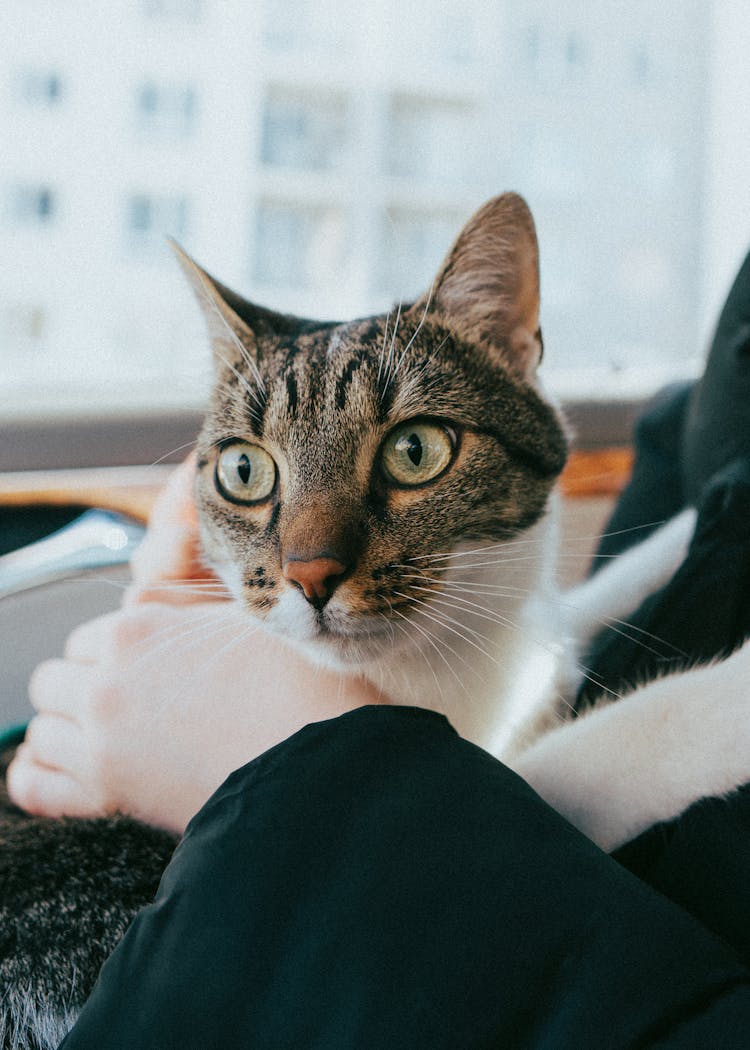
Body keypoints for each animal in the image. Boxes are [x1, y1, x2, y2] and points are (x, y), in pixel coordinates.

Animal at [1, 193, 747, 1045]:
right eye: (245, 469)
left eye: (415, 450)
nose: (310, 574)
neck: (450, 662)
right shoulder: (510, 785)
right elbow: (603, 751)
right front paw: (729, 694)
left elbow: (578, 610)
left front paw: (692, 524)